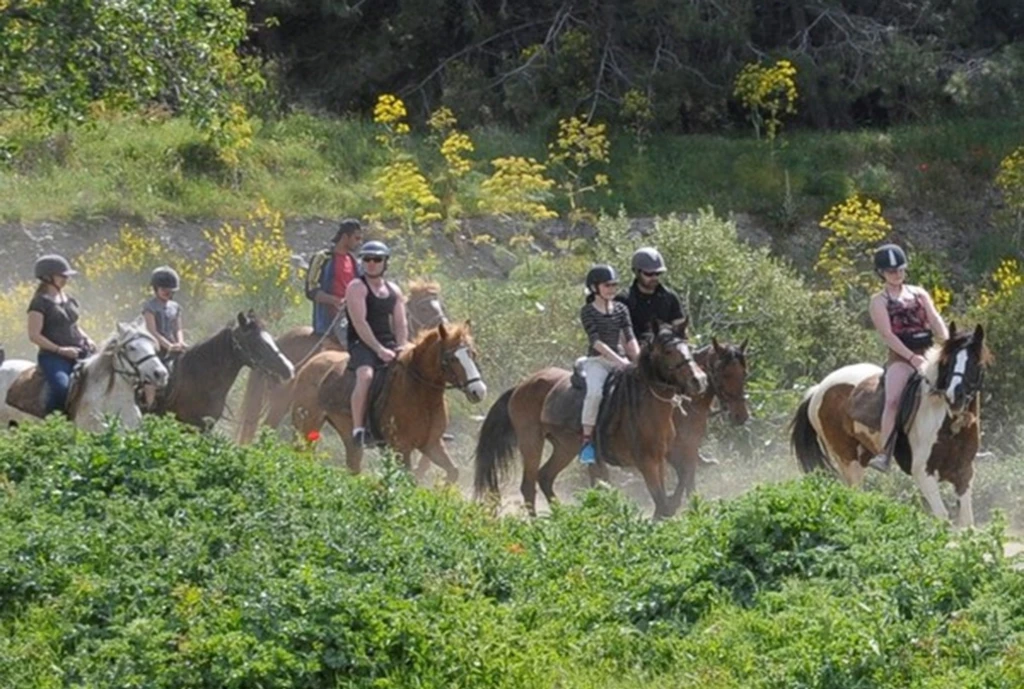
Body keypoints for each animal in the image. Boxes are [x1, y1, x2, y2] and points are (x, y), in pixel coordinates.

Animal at [236, 279, 449, 443]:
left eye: (440, 305)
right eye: (423, 307)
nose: (444, 328)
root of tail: (280, 341)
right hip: (281, 400)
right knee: (268, 425)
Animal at [290, 322, 486, 481]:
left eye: (473, 354)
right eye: (452, 358)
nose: (478, 391)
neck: (420, 394)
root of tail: (311, 363)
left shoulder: (432, 444)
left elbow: (453, 472)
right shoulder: (402, 448)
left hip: (347, 436)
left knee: (353, 466)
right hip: (307, 428)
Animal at [474, 318, 708, 519]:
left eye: (689, 349)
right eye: (668, 351)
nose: (699, 380)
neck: (647, 406)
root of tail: (521, 386)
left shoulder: (662, 458)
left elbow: (675, 488)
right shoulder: (647, 462)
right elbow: (661, 502)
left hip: (565, 447)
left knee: (545, 476)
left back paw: (561, 517)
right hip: (531, 442)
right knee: (528, 485)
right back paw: (538, 525)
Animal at [790, 323, 991, 527]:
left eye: (975, 363)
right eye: (947, 362)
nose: (955, 396)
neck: (950, 425)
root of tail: (818, 389)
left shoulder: (964, 473)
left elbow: (967, 522)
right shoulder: (923, 473)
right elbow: (942, 517)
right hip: (846, 457)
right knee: (854, 492)